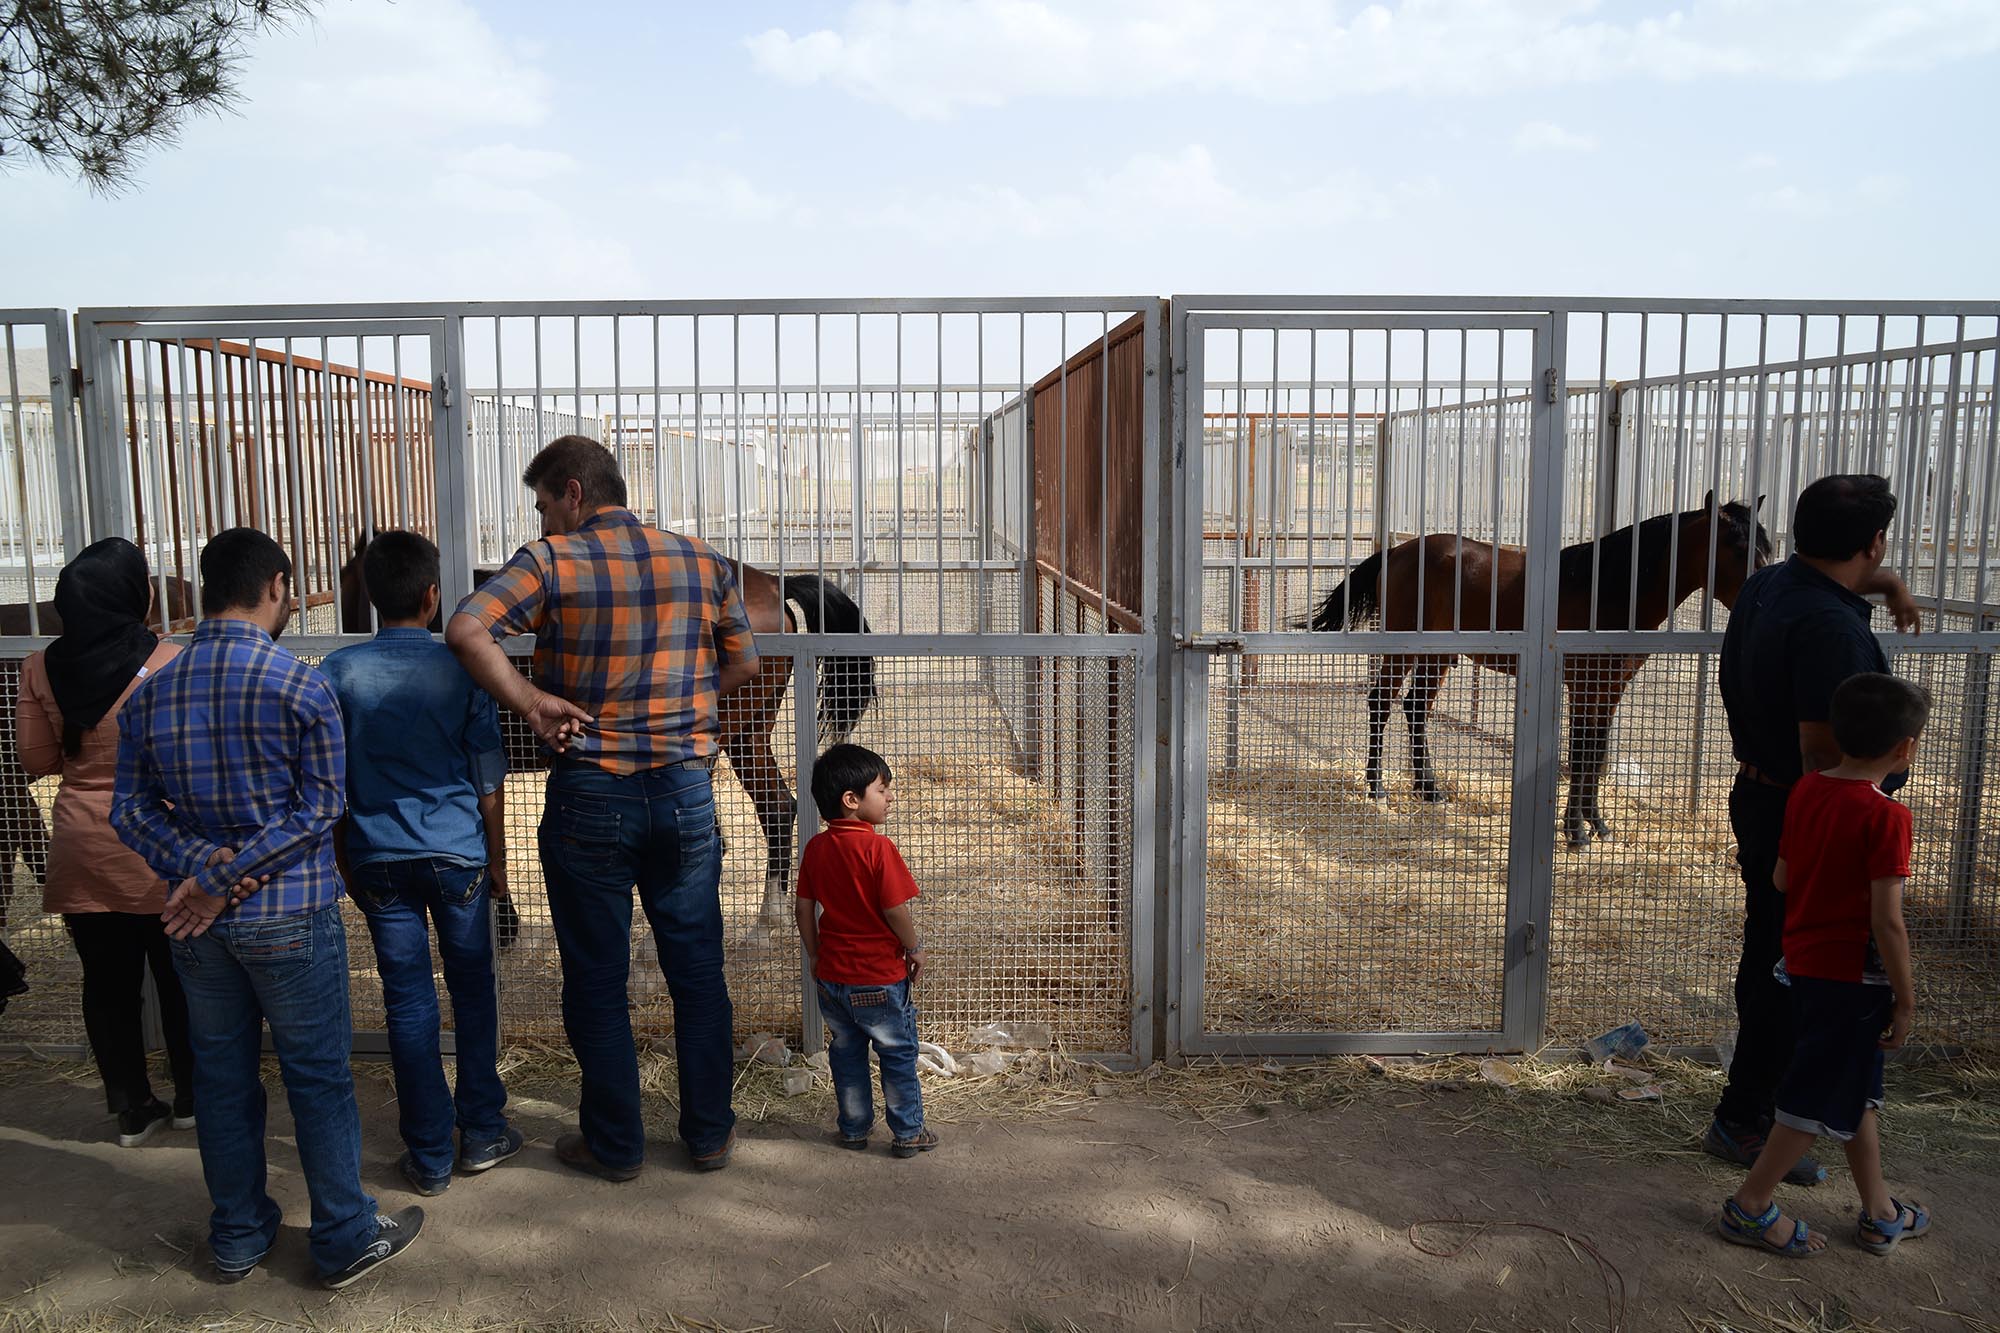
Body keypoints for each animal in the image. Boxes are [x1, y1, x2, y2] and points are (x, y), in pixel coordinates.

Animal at [1312, 492, 1768, 844]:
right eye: (1737, 547)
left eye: (1766, 547)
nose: (1760, 595)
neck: (1607, 588)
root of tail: (1397, 552)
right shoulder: (1583, 684)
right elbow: (1581, 752)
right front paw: (1576, 831)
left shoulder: (1612, 686)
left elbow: (1597, 752)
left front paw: (1599, 824)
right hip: (1403, 651)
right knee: (1381, 704)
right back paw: (1377, 788)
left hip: (1437, 656)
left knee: (1415, 708)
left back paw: (1430, 790)